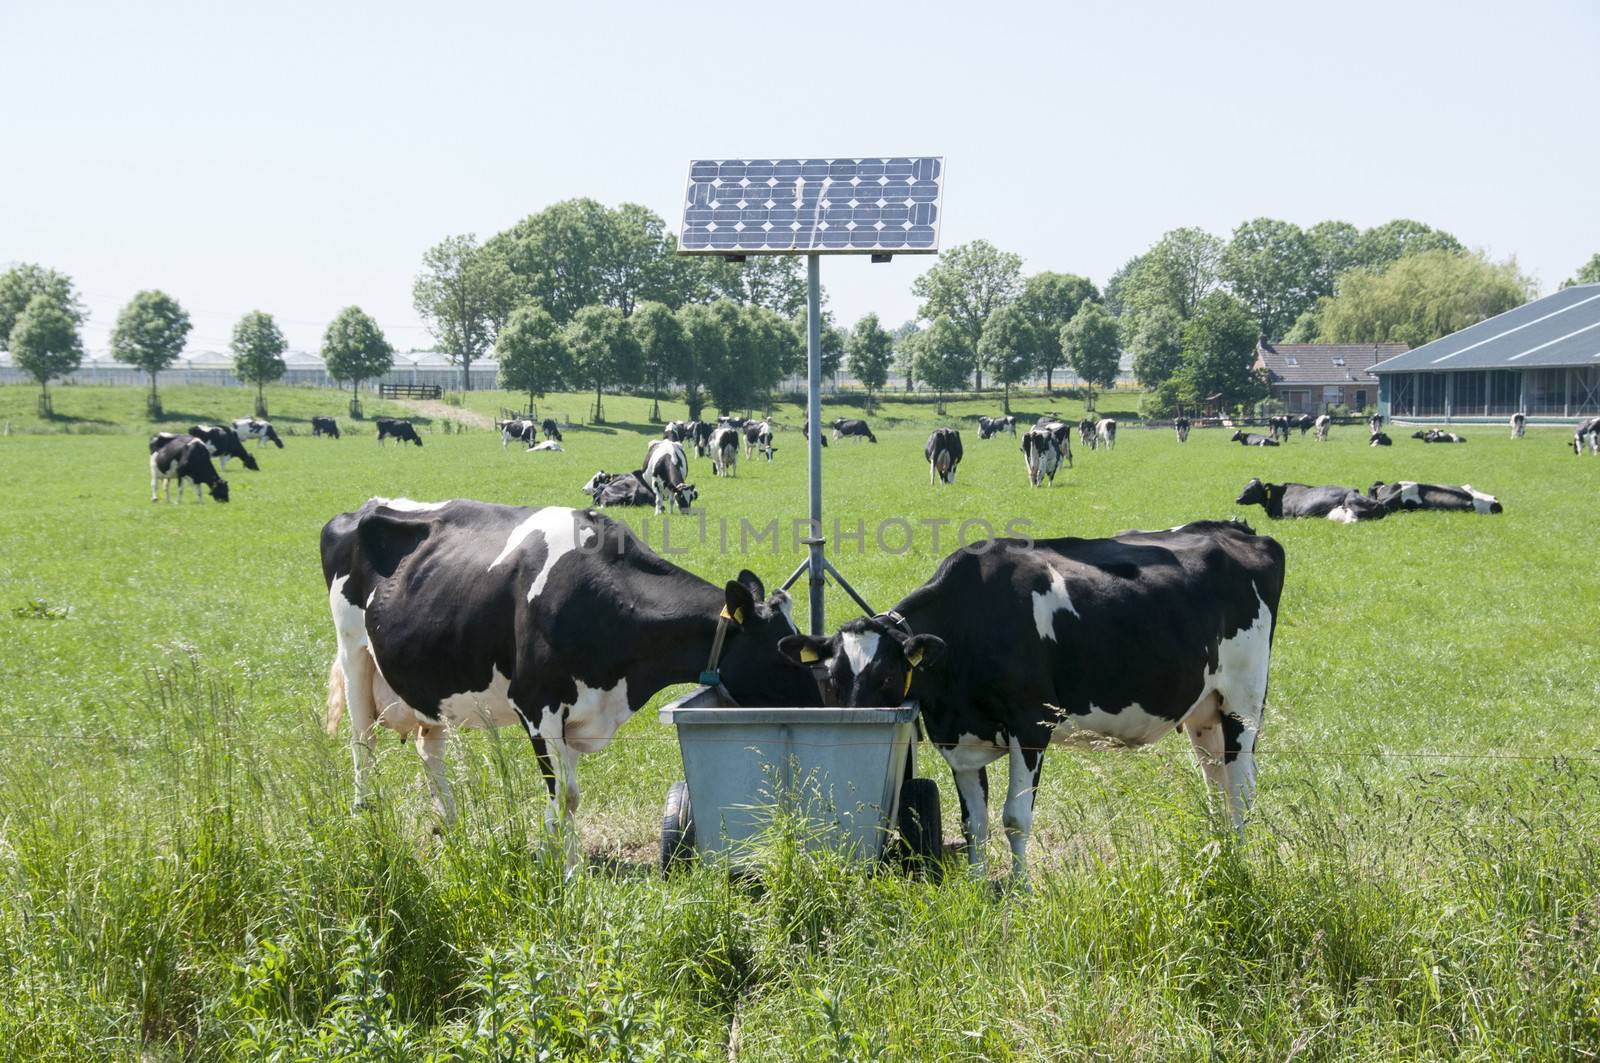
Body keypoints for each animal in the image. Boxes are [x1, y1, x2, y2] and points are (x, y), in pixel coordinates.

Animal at [320, 499, 819, 864]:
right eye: (783, 656)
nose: (821, 701)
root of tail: (358, 509)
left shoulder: (579, 712)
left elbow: (572, 798)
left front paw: (568, 866)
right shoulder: (536, 704)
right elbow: (563, 797)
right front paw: (557, 871)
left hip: (430, 680)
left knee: (429, 750)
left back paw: (451, 827)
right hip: (354, 653)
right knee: (362, 744)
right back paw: (367, 824)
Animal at [780, 521, 1292, 877]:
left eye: (887, 674)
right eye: (830, 679)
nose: (854, 730)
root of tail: (1237, 530)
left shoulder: (1031, 725)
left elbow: (1014, 819)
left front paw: (1020, 894)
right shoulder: (958, 740)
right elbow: (974, 823)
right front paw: (978, 888)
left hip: (1244, 699)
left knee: (1241, 788)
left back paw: (1238, 862)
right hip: (1205, 708)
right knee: (1216, 783)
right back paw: (1218, 852)